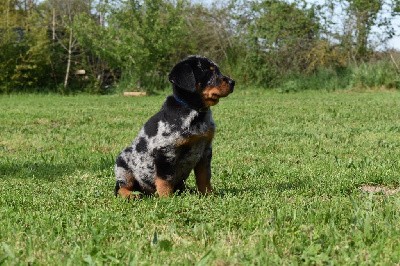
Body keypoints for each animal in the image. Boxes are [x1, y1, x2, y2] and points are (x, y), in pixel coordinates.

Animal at [114, 55, 234, 197]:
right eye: (208, 71)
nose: (233, 82)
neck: (195, 111)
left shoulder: (205, 151)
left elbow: (204, 177)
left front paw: (208, 195)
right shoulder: (165, 151)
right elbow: (165, 180)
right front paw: (167, 198)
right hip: (122, 165)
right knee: (120, 187)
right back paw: (131, 195)